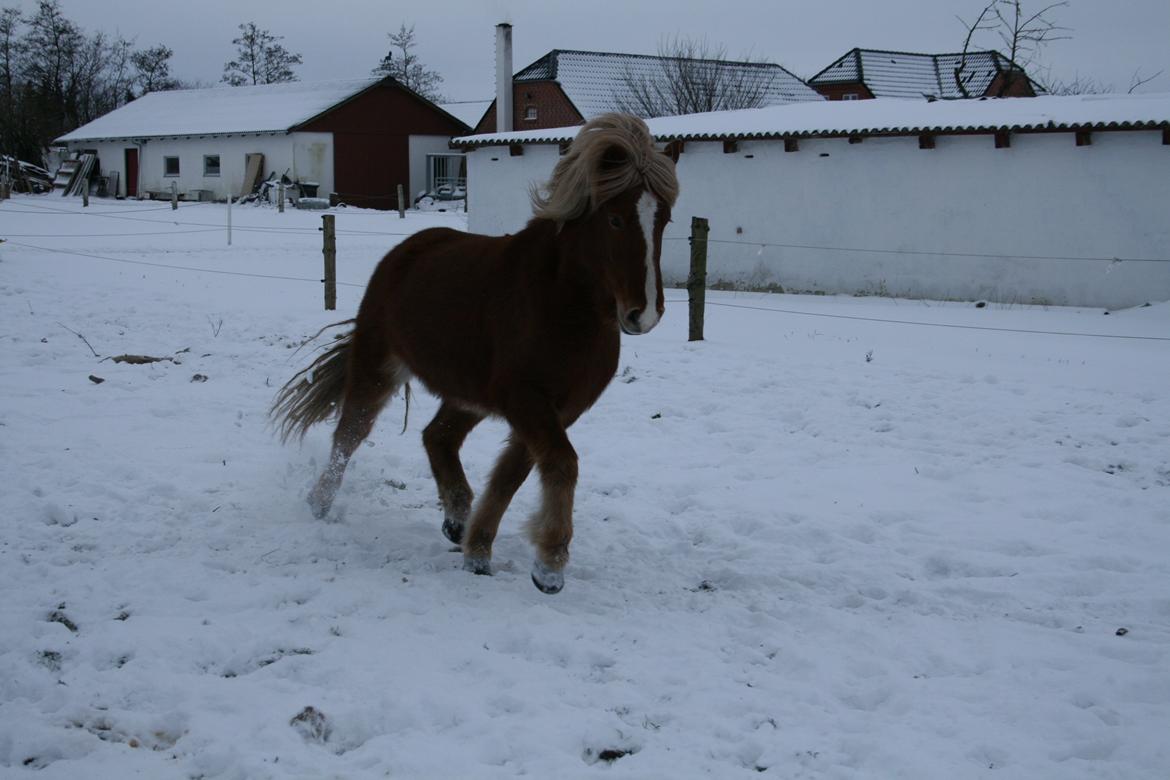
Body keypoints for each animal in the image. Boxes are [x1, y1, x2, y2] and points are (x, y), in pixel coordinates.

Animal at [270, 112, 683, 594]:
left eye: (664, 219)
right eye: (615, 220)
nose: (644, 314)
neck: (561, 307)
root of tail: (405, 252)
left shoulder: (559, 409)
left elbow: (511, 475)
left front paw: (480, 551)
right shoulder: (526, 400)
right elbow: (561, 464)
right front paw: (550, 565)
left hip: (468, 395)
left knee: (437, 437)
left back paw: (456, 520)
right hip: (379, 367)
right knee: (349, 434)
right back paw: (320, 503)